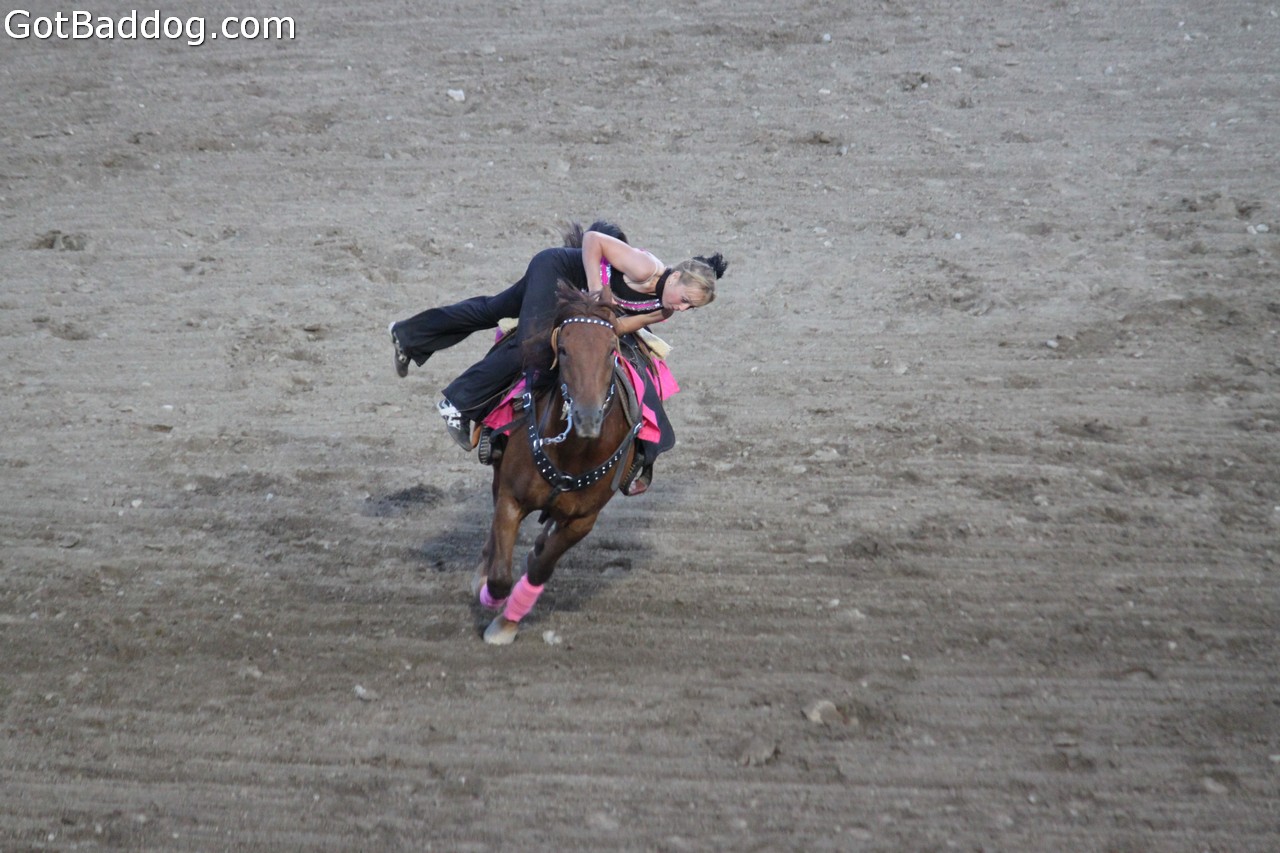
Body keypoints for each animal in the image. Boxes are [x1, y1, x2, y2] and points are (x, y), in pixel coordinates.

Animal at [471, 285, 644, 645]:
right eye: (563, 350)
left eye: (611, 351)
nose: (587, 417)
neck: (574, 453)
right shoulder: (511, 498)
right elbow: (500, 576)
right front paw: (491, 600)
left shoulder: (583, 521)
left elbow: (541, 568)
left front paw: (506, 623)